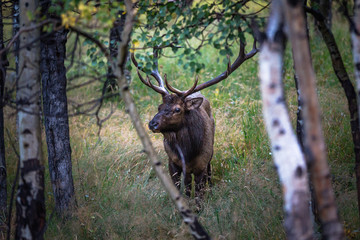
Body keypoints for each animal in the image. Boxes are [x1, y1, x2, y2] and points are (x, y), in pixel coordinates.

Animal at [131, 42, 258, 200]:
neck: (188, 154)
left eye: (177, 109)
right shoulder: (172, 162)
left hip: (211, 151)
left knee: (209, 173)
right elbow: (179, 189)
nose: (152, 123)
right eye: (159, 106)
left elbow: (199, 195)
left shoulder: (201, 164)